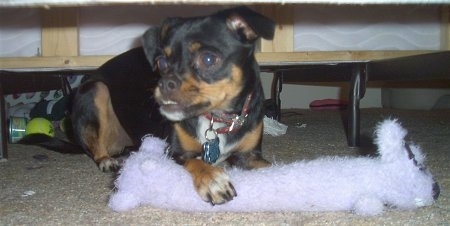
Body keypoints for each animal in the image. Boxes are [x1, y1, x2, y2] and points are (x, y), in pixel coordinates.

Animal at [71, 6, 274, 205]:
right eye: (161, 62)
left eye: (208, 59)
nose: (164, 84)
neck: (216, 119)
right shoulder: (173, 153)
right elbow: (196, 162)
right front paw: (213, 180)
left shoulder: (249, 156)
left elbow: (271, 166)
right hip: (97, 90)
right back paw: (106, 159)